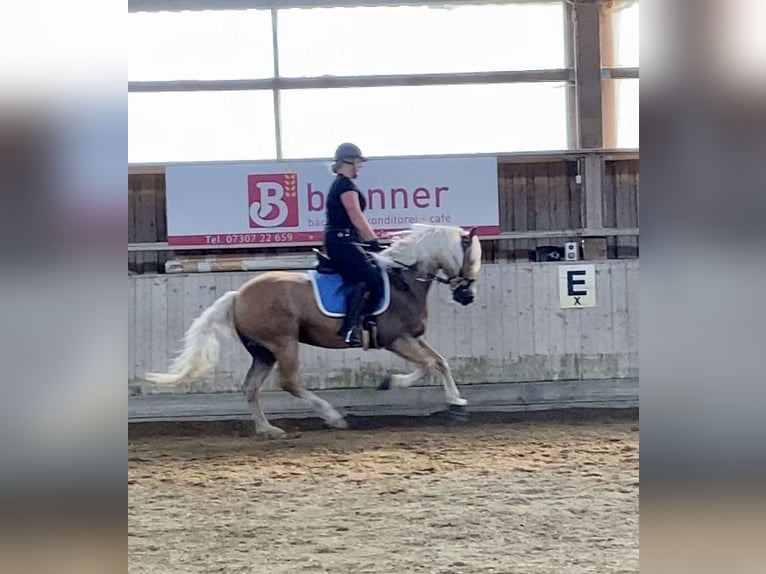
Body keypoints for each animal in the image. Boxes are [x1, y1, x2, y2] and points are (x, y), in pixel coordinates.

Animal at [145, 224, 482, 437]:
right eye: (470, 259)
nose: (467, 297)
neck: (403, 280)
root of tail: (238, 295)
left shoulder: (412, 336)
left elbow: (439, 362)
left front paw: (457, 404)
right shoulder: (395, 339)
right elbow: (427, 366)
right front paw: (391, 383)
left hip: (263, 352)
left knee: (250, 388)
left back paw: (267, 429)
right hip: (284, 343)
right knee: (289, 382)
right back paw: (333, 417)